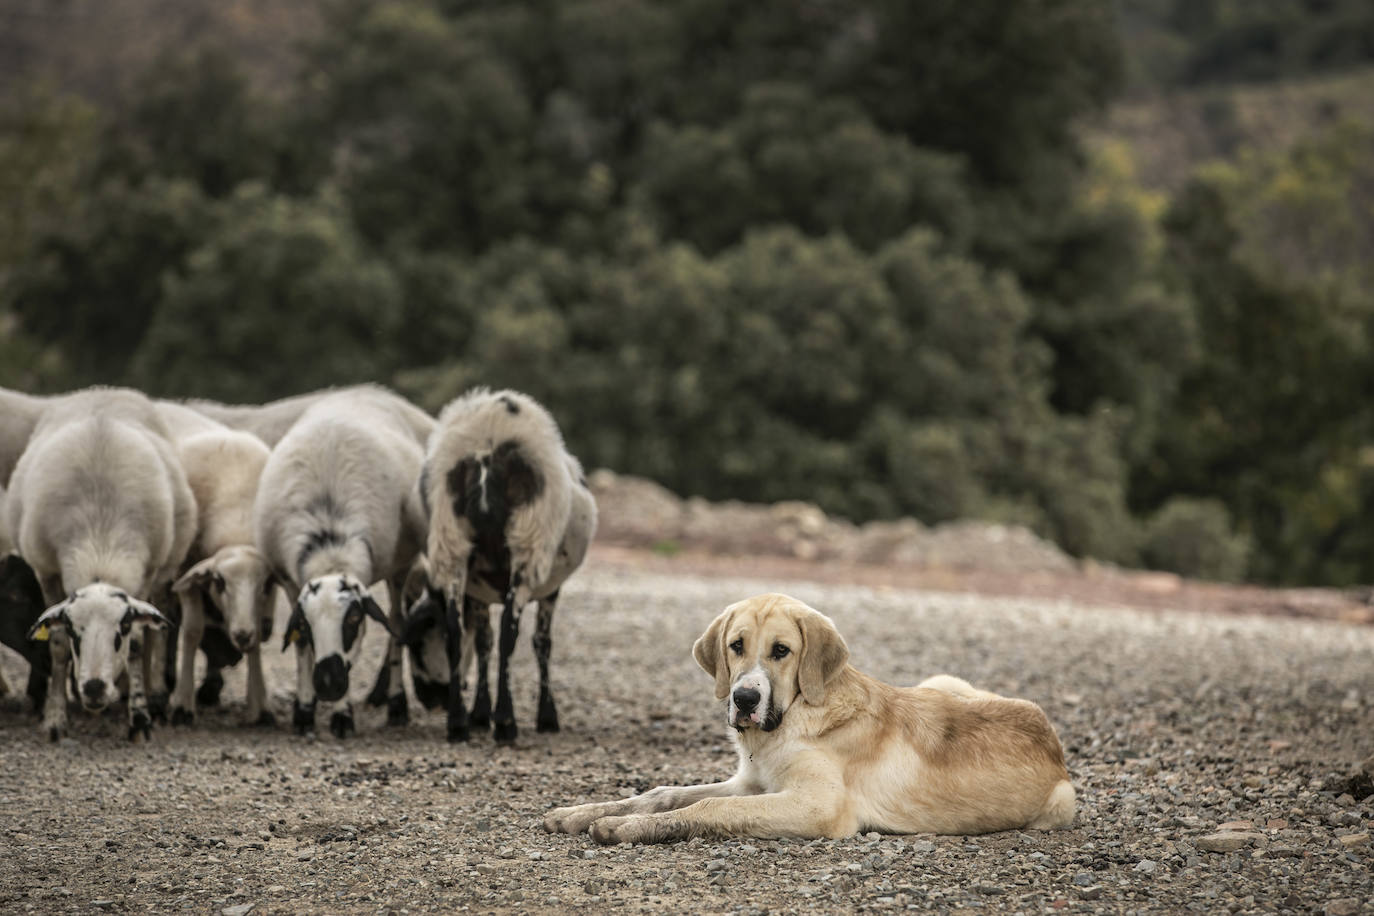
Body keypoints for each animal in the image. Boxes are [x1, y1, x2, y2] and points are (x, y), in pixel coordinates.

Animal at [6, 390, 196, 741]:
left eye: (122, 627)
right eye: (73, 629)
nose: (94, 688)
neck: (100, 545)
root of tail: (104, 390)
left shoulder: (146, 574)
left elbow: (138, 645)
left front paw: (140, 718)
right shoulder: (47, 572)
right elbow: (57, 647)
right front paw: (55, 718)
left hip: (165, 572)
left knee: (158, 632)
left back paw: (155, 694)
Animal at [155, 403, 281, 725]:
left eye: (264, 584)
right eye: (220, 582)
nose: (241, 635)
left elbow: (257, 636)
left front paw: (260, 705)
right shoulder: (186, 576)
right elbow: (192, 631)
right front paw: (182, 706)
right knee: (169, 623)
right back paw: (167, 683)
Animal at [255, 387, 431, 736]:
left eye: (353, 619)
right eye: (306, 624)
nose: (328, 683)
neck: (330, 551)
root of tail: (362, 390)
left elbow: (380, 636)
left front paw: (342, 717)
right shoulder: (289, 581)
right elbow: (300, 648)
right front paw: (304, 711)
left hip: (401, 567)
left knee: (397, 623)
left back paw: (396, 703)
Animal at [412, 387, 596, 747]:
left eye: (418, 641)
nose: (428, 700)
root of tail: (489, 437)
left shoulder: (477, 590)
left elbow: (481, 641)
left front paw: (478, 714)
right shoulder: (551, 588)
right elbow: (541, 643)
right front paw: (545, 717)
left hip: (451, 541)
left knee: (456, 631)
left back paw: (457, 724)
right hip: (529, 541)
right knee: (510, 633)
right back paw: (506, 723)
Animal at [544, 596, 1071, 845]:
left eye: (782, 651)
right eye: (736, 645)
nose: (744, 698)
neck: (795, 718)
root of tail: (1054, 743)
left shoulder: (817, 804)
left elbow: (711, 809)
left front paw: (622, 828)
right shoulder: (751, 783)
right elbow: (663, 793)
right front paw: (581, 812)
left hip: (1059, 804)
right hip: (941, 680)